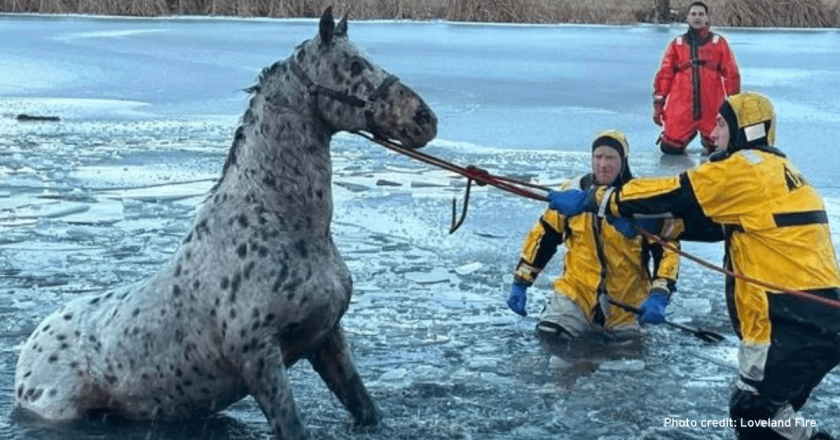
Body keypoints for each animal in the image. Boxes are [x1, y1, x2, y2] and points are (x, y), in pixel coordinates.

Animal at [13, 7, 437, 440]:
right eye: (353, 64)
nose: (425, 119)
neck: (279, 221)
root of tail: (28, 352)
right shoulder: (259, 356)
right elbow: (291, 425)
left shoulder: (327, 338)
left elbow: (364, 406)